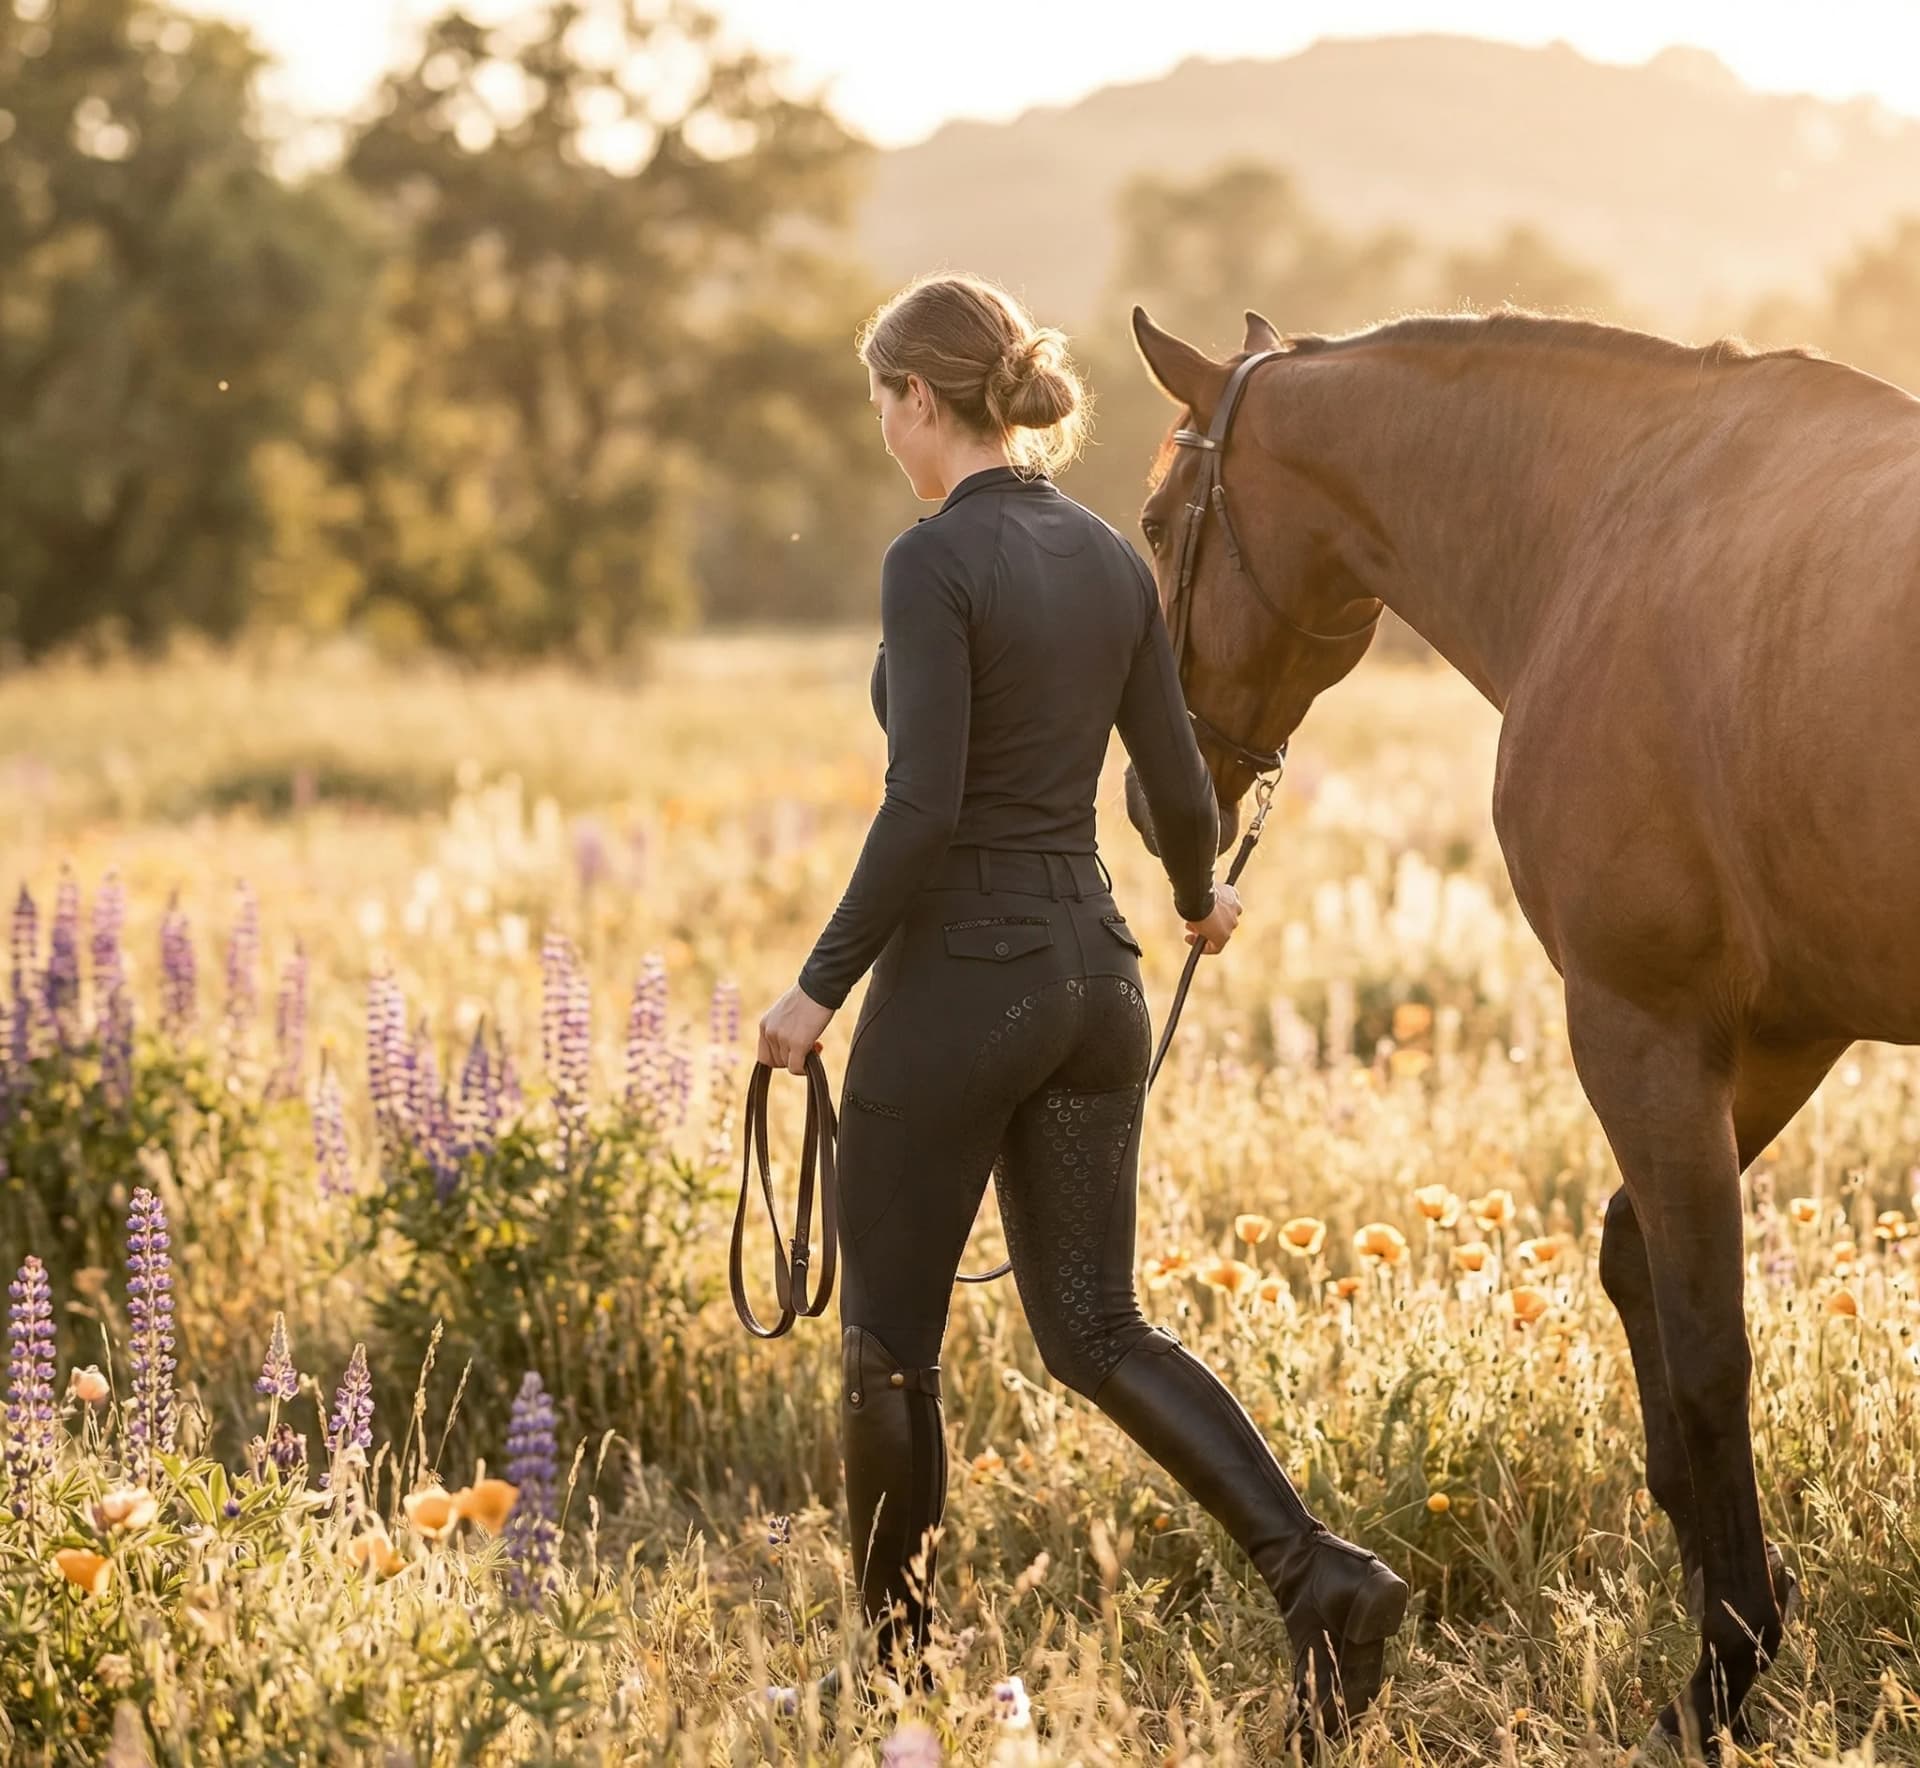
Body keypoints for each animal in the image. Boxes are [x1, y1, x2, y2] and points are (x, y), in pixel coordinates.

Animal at [1120, 300, 1920, 1758]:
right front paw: (1737, 1586)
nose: (1163, 808)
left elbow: (1710, 1347)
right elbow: (1635, 1268)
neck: (1608, 525)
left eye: (1157, 521)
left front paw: (1725, 1668)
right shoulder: (1779, 1034)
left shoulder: (1639, 1021)